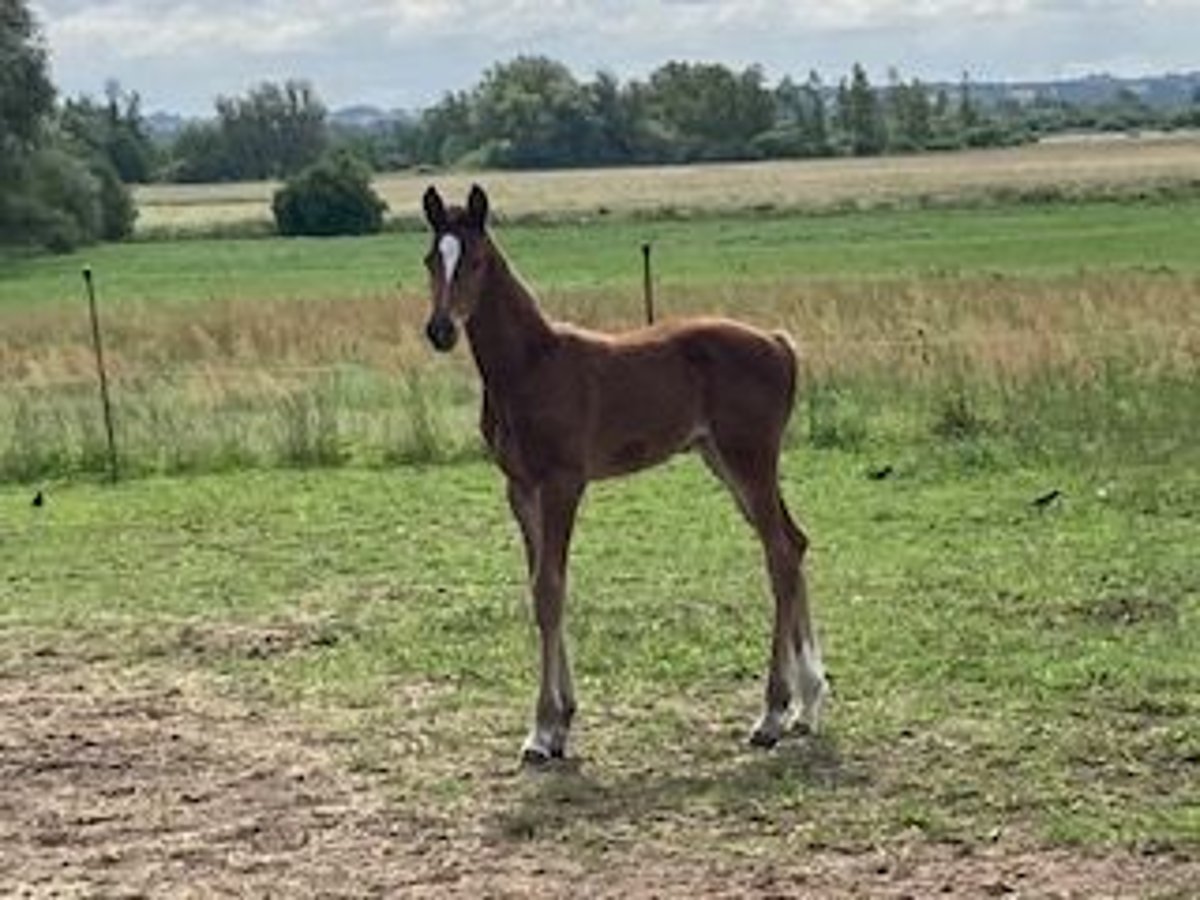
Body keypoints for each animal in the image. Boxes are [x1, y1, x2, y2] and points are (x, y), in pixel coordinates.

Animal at [420, 187, 825, 763]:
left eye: (475, 260)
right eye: (431, 260)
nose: (440, 330)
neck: (530, 365)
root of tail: (778, 341)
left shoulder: (564, 482)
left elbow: (549, 589)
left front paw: (542, 731)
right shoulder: (520, 488)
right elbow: (541, 586)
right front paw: (562, 722)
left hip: (750, 458)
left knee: (781, 556)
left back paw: (772, 714)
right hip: (722, 460)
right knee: (794, 542)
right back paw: (808, 704)